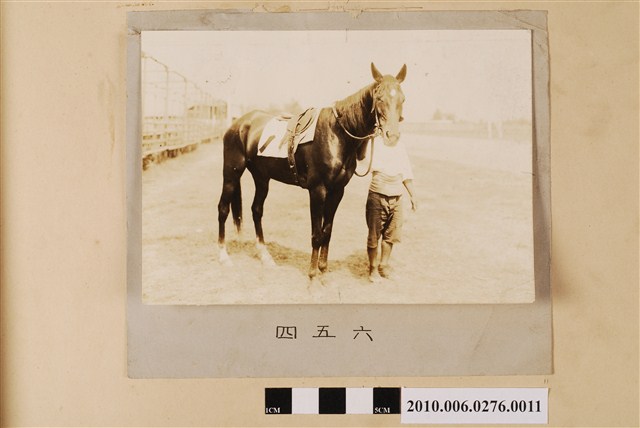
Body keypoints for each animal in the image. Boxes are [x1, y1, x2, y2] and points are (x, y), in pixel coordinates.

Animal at [217, 63, 407, 279]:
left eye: (402, 99)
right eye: (380, 98)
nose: (392, 136)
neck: (337, 134)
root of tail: (239, 123)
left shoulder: (337, 191)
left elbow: (327, 231)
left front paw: (323, 269)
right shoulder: (317, 190)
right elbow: (316, 234)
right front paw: (313, 274)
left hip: (261, 177)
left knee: (256, 210)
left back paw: (265, 257)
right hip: (231, 173)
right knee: (223, 209)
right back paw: (223, 256)